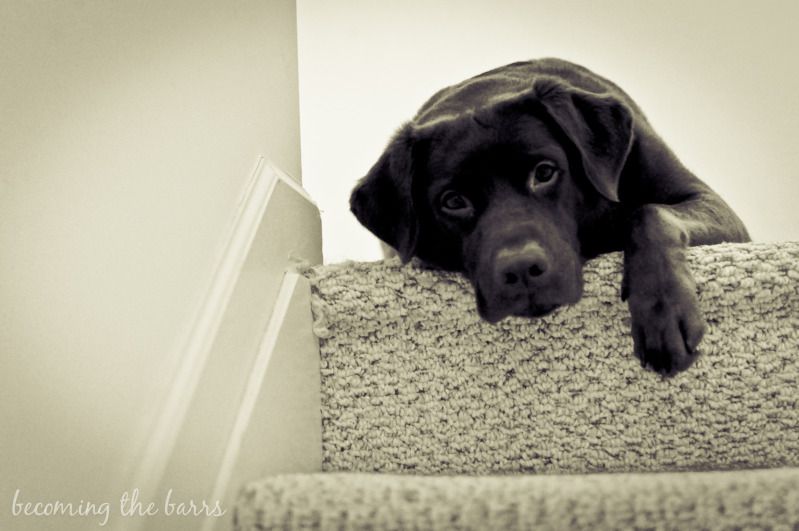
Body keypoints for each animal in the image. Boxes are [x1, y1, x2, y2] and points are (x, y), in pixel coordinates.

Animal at [350, 58, 752, 376]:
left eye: (544, 173)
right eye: (453, 201)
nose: (521, 270)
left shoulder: (709, 204)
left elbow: (650, 213)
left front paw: (664, 313)